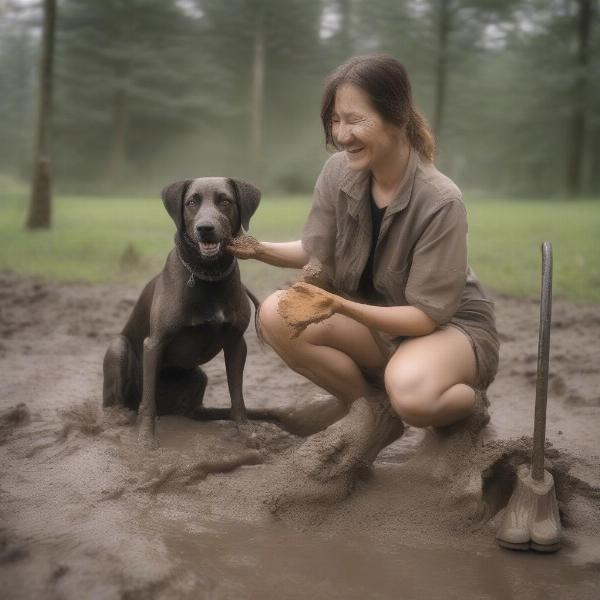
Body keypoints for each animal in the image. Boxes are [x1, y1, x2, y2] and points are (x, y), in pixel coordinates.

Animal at [102, 176, 260, 448]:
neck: (208, 275)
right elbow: (148, 402)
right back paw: (119, 415)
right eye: (191, 202)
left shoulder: (236, 343)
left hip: (199, 376)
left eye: (225, 201)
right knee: (119, 403)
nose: (205, 228)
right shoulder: (154, 344)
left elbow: (237, 396)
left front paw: (245, 430)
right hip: (118, 348)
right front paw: (146, 439)